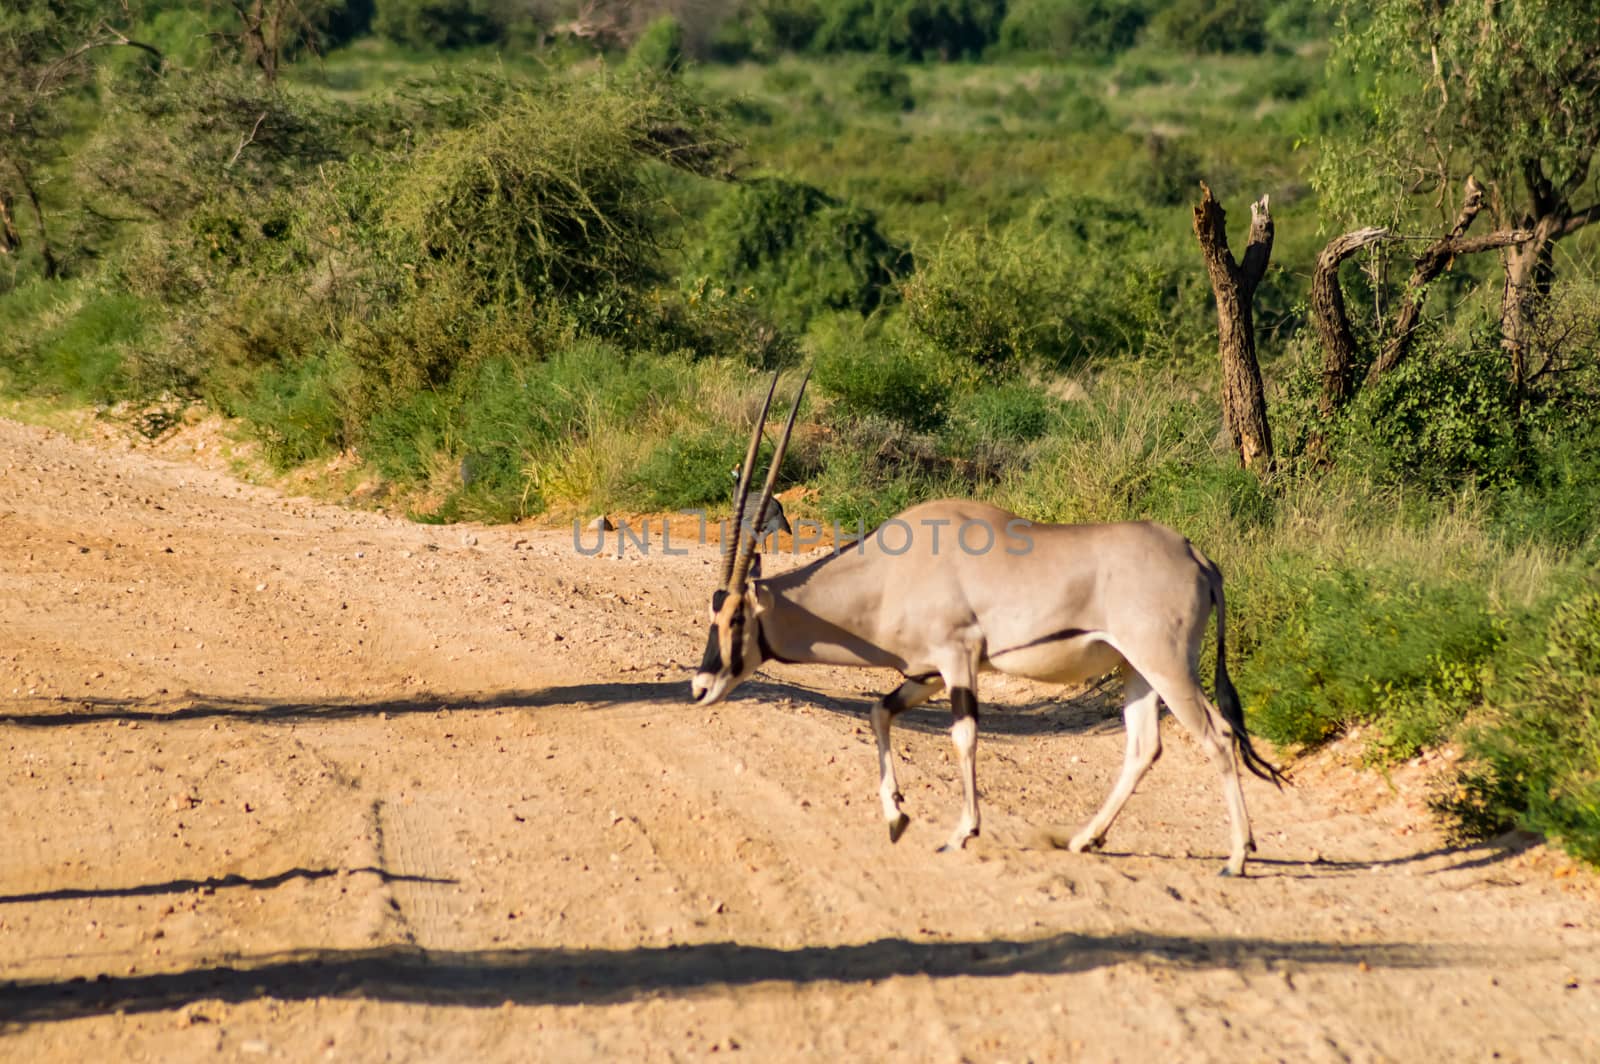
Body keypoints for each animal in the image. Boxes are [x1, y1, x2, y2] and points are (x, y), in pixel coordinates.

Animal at [691, 371, 1286, 870]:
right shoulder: (926, 672)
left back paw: (1238, 856)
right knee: (1144, 747)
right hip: (1136, 670)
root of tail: (1197, 556)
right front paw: (896, 816)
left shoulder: (957, 660)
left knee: (1218, 736)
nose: (699, 687)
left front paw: (961, 832)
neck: (888, 572)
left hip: (1168, 666)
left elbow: (964, 736)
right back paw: (1085, 839)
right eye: (713, 613)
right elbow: (879, 713)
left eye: (737, 618)